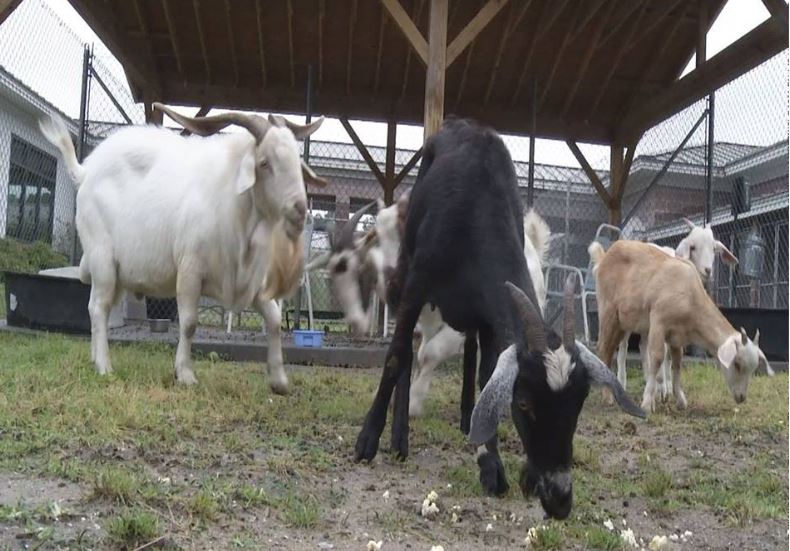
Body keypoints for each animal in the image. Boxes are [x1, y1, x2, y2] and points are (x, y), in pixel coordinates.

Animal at [39, 106, 324, 392]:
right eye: (264, 163)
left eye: (296, 162)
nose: (300, 210)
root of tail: (85, 172)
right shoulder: (190, 271)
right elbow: (189, 324)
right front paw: (184, 373)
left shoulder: (249, 282)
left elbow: (274, 320)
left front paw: (279, 381)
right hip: (102, 258)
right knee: (99, 307)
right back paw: (104, 367)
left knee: (98, 307)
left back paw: (94, 358)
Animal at [352, 117, 644, 520]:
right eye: (523, 403)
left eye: (579, 403)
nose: (560, 500)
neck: (474, 211)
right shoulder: (416, 287)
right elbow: (397, 356)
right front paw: (367, 439)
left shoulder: (491, 318)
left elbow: (485, 373)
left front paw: (490, 464)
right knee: (409, 352)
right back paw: (399, 439)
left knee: (469, 356)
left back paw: (464, 421)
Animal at [592, 239, 772, 412]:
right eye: (737, 364)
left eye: (754, 369)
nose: (741, 397)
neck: (690, 297)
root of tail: (605, 256)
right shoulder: (658, 322)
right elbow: (657, 358)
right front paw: (647, 403)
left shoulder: (677, 336)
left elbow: (677, 363)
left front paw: (680, 400)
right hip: (608, 310)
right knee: (603, 348)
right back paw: (607, 396)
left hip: (624, 321)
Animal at [620, 217, 744, 402]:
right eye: (692, 247)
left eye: (714, 249)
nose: (708, 270)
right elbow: (663, 352)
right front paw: (662, 388)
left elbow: (669, 354)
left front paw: (666, 387)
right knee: (624, 345)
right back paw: (622, 382)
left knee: (643, 345)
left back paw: (648, 379)